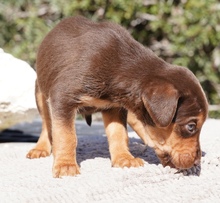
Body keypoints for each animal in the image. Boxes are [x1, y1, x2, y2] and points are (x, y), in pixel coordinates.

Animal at [26, 16, 208, 178]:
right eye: (191, 126)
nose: (197, 163)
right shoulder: (62, 97)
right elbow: (66, 135)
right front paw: (66, 165)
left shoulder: (115, 107)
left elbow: (119, 134)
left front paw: (124, 159)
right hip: (41, 93)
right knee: (47, 123)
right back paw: (40, 148)